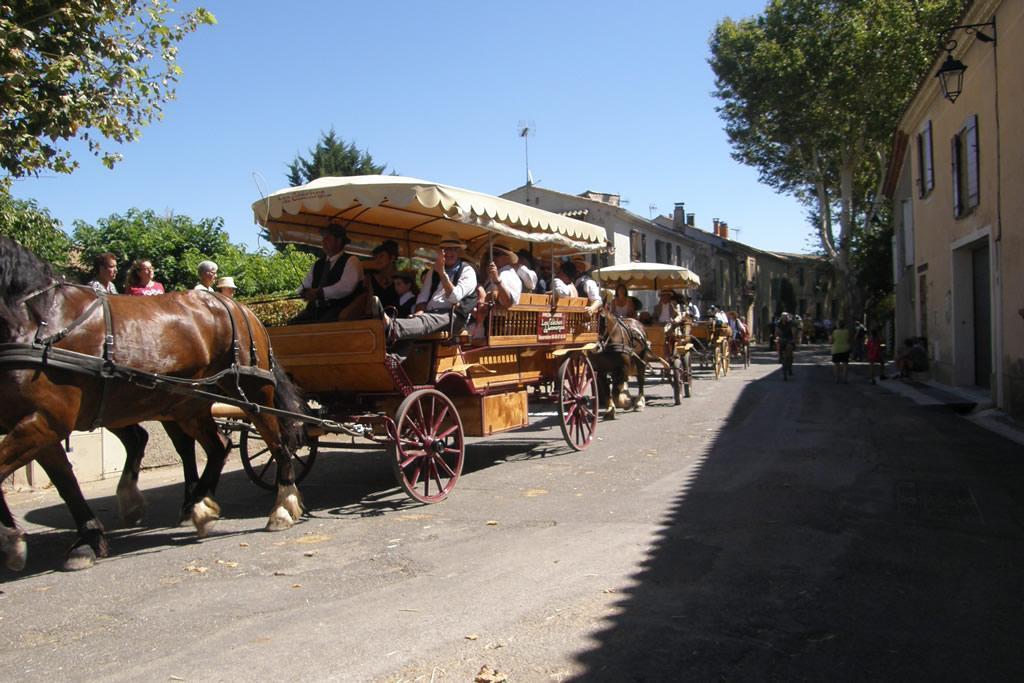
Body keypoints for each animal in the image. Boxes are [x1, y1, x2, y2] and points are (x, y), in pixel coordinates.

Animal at [0, 237, 305, 573]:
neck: (40, 321)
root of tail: (240, 308)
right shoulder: (39, 424)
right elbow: (65, 482)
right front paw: (82, 541)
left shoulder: (45, 420)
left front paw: (14, 539)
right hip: (184, 403)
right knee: (217, 446)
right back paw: (198, 505)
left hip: (251, 392)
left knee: (278, 443)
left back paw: (281, 507)